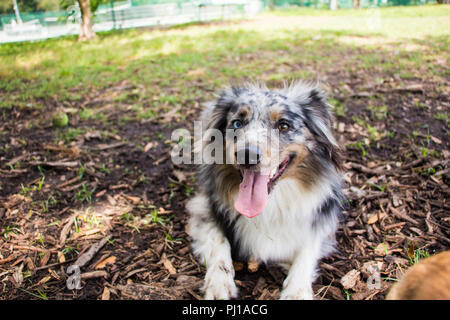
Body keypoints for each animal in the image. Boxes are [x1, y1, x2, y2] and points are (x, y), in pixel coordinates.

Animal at [186, 80, 344, 300]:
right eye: (237, 123)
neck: (271, 203)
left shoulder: (322, 222)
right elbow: (219, 242)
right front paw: (219, 283)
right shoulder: (204, 208)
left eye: (283, 125)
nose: (247, 154)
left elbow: (307, 250)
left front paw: (296, 291)